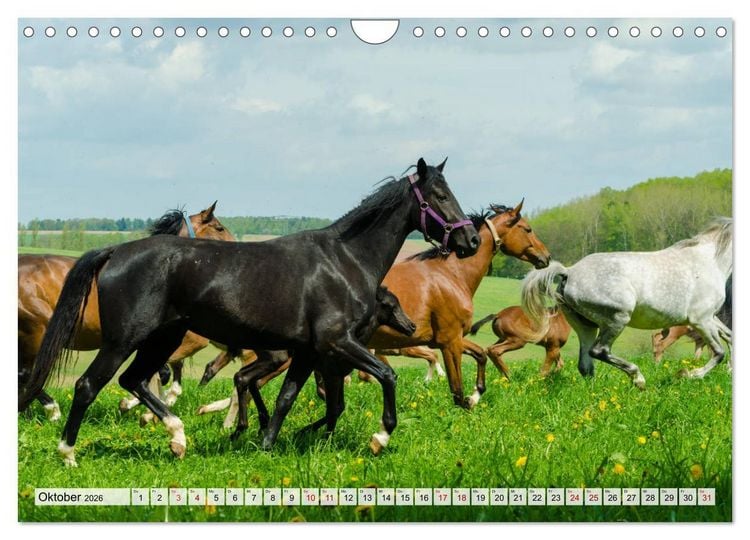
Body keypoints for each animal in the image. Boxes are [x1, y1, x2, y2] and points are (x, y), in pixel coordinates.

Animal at [17, 203, 233, 420]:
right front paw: (142, 406)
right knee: (28, 374)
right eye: (219, 228)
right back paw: (51, 409)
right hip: (37, 332)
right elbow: (159, 375)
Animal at [521, 218, 733, 388]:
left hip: (586, 326)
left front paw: (729, 370)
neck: (710, 261)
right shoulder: (700, 320)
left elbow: (730, 337)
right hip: (617, 318)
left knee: (585, 365)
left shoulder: (711, 317)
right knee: (599, 351)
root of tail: (569, 272)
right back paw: (638, 379)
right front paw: (688, 374)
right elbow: (719, 352)